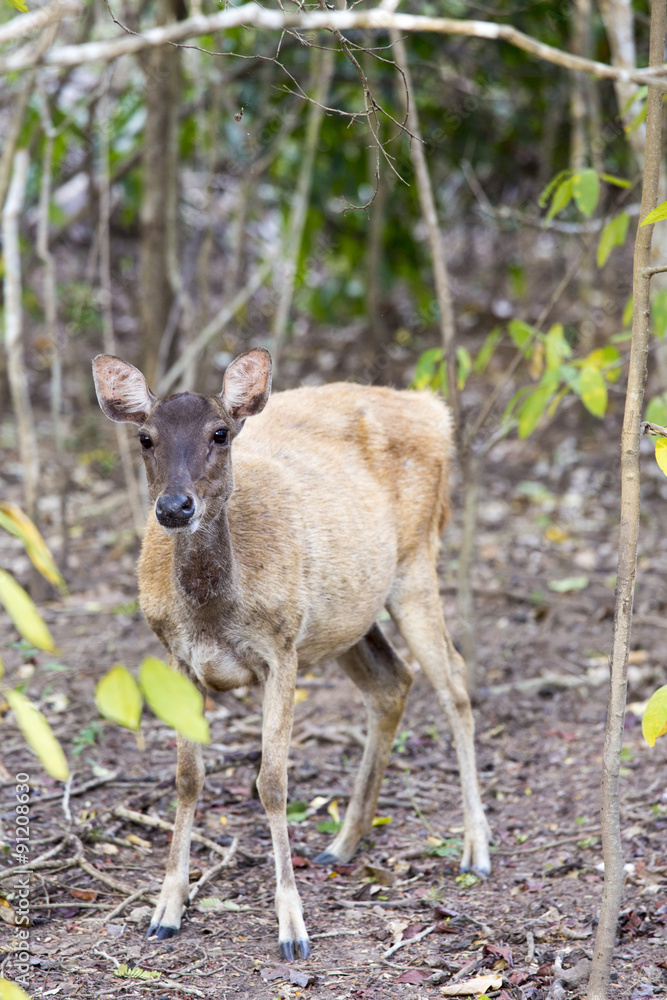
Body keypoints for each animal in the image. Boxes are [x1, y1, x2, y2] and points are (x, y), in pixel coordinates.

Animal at [92, 348, 491, 961]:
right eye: (145, 437)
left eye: (220, 432)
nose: (175, 507)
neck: (214, 613)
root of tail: (433, 410)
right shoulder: (178, 657)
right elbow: (187, 777)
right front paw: (166, 910)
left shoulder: (281, 650)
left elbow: (272, 781)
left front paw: (292, 926)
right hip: (344, 616)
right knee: (393, 681)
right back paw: (342, 843)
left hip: (416, 560)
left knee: (454, 682)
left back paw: (476, 850)